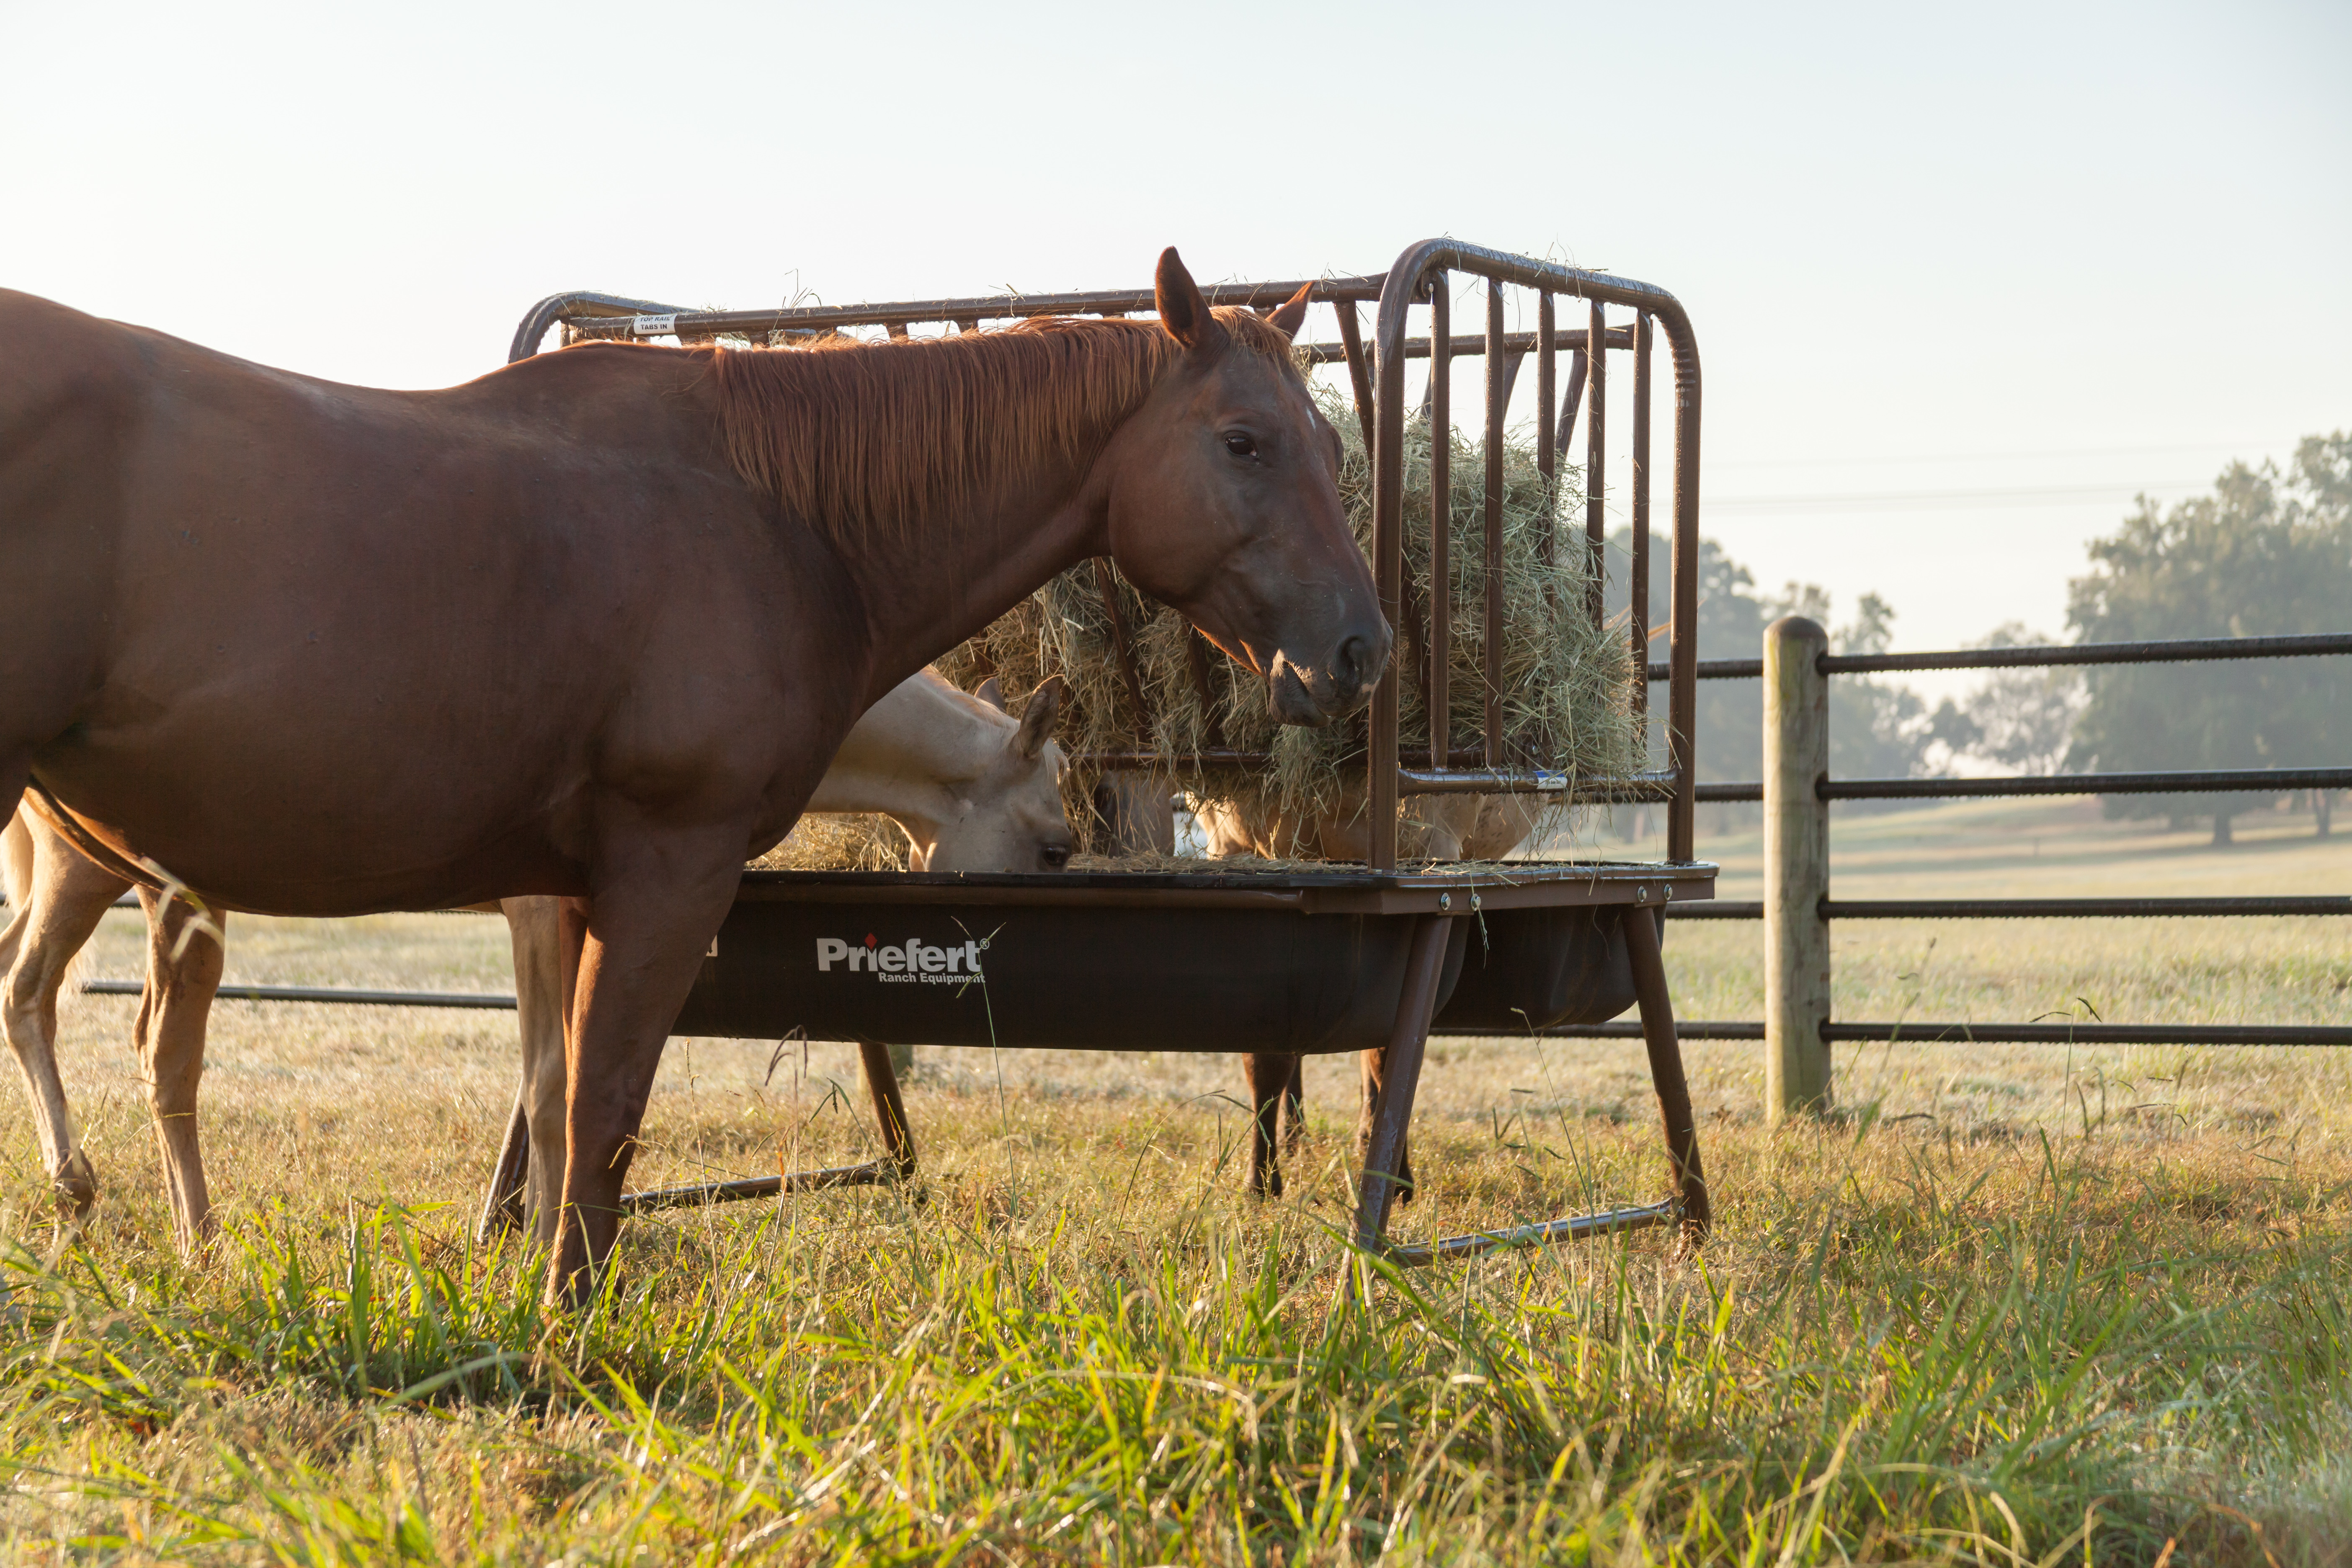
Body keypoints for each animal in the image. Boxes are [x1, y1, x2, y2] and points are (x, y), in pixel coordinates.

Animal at [0, 668, 1073, 1248]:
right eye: (1057, 846)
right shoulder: (534, 906)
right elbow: (552, 1074)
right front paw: (540, 1247)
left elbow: (571, 1074)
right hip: (126, 878)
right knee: (132, 1038)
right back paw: (181, 1228)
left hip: (87, 874)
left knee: (35, 991)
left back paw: (79, 1187)